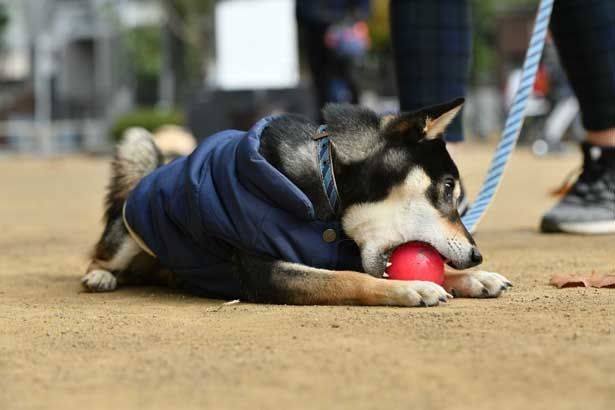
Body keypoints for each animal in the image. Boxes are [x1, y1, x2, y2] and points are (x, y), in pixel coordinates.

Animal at [83, 97, 516, 306]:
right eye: (447, 188)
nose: (476, 255)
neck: (327, 183)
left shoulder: (337, 250)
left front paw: (474, 279)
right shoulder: (266, 270)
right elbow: (350, 280)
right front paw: (412, 290)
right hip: (129, 225)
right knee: (100, 254)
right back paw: (100, 276)